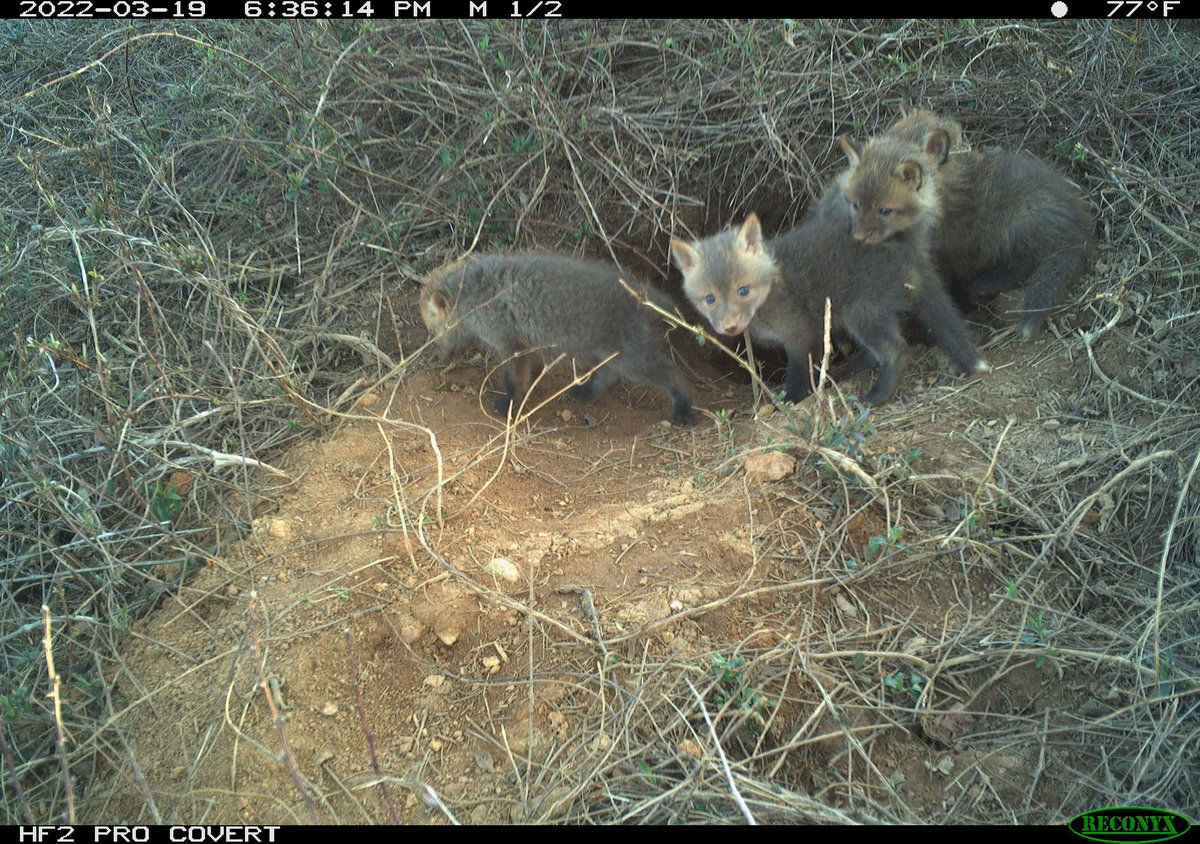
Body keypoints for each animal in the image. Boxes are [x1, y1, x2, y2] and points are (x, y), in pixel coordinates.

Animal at [418, 253, 696, 427]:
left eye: (434, 332)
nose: (441, 358)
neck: (471, 292)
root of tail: (639, 291)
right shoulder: (528, 344)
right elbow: (530, 371)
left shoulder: (511, 344)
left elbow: (513, 381)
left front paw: (509, 404)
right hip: (604, 351)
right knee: (609, 374)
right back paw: (586, 391)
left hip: (632, 358)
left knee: (671, 373)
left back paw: (684, 409)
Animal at [669, 210, 989, 406]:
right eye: (709, 299)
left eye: (743, 290)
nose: (729, 326)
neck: (774, 285)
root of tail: (906, 252)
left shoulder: (800, 336)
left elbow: (797, 374)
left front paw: (793, 400)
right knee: (872, 354)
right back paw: (847, 371)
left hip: (859, 314)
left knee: (897, 351)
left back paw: (877, 395)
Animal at [840, 117, 1095, 338]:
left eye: (884, 210)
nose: (859, 235)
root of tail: (1082, 235)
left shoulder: (949, 254)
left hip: (1022, 219)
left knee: (1025, 265)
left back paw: (984, 284)